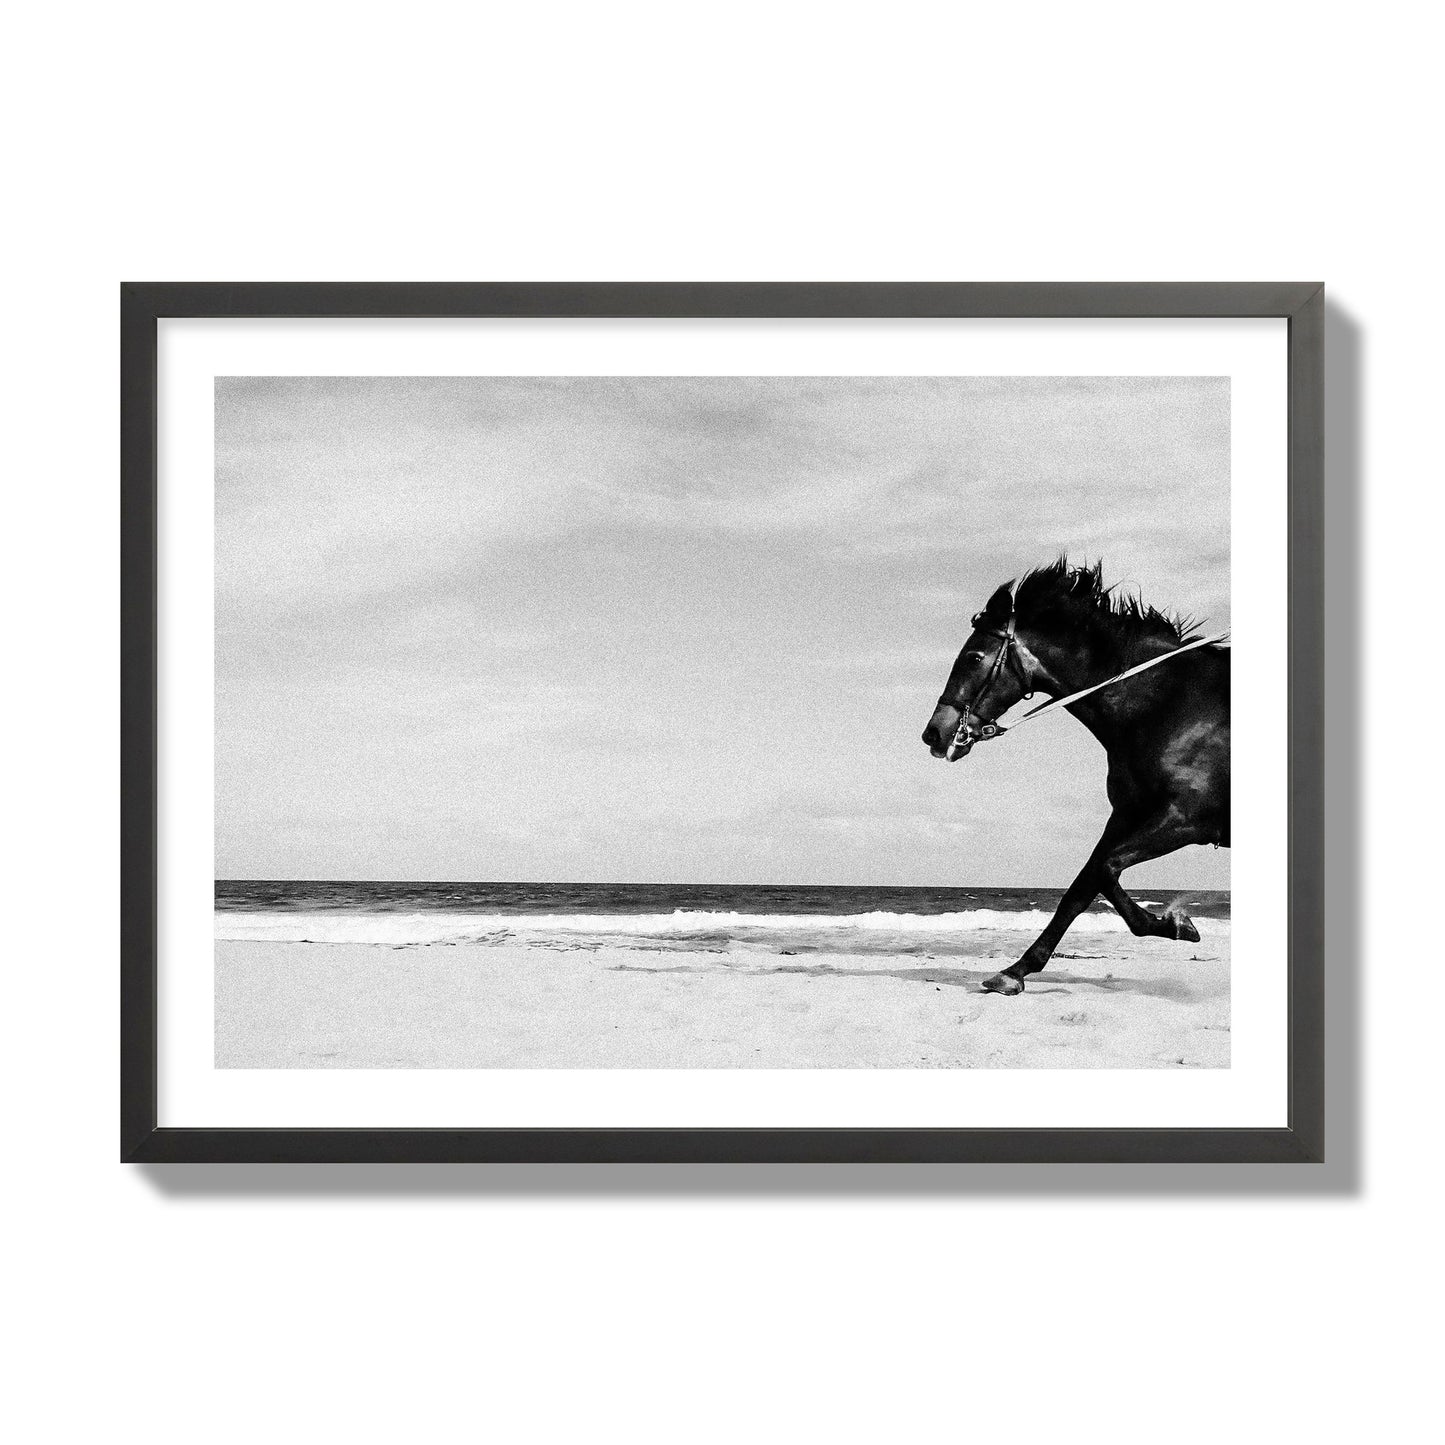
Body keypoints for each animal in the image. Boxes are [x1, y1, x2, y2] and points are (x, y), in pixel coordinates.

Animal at [920, 560, 1230, 995]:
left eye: (974, 656)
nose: (935, 733)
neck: (1170, 705)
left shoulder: (1186, 819)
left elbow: (1103, 870)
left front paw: (1176, 922)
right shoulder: (1127, 815)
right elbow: (1084, 885)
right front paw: (1015, 970)